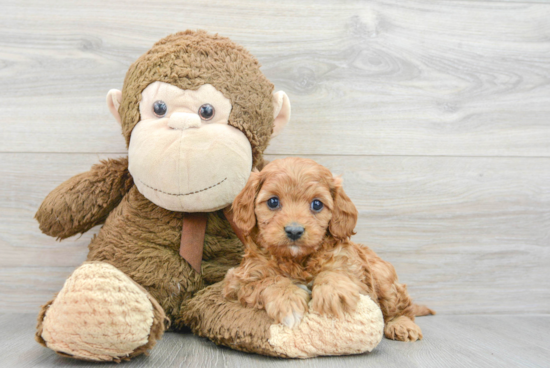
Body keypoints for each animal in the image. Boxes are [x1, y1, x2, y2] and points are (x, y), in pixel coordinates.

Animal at [222, 157, 434, 340]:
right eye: (273, 202)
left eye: (317, 204)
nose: (294, 231)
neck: (297, 260)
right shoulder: (239, 281)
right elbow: (268, 281)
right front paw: (288, 301)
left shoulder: (359, 277)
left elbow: (336, 273)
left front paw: (333, 294)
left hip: (384, 279)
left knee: (403, 308)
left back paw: (402, 325)